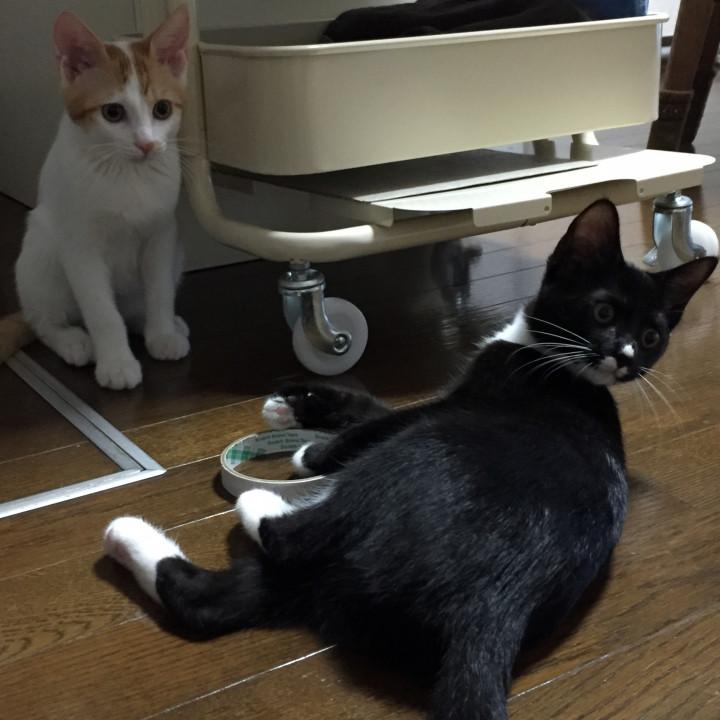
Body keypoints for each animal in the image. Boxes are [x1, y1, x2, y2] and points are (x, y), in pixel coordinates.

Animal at [0, 7, 190, 389]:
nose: (147, 144)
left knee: (136, 307)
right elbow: (102, 311)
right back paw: (73, 341)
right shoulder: (80, 247)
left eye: (162, 109)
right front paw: (116, 363)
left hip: (176, 252)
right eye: (112, 113)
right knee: (43, 321)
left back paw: (160, 324)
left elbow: (160, 290)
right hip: (40, 251)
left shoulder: (163, 233)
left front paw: (162, 332)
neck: (127, 175)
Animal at [103, 200, 716, 719]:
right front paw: (294, 403)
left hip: (416, 456)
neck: (561, 365)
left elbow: (386, 420)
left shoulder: (458, 402)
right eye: (605, 311)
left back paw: (252, 504)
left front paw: (312, 450)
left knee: (282, 542)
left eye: (652, 335)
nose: (625, 357)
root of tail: (490, 605)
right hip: (329, 581)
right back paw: (131, 536)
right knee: (208, 603)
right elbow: (372, 405)